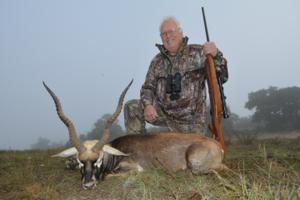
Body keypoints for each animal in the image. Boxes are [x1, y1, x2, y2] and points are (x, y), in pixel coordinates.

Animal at [43, 79, 226, 189]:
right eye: (80, 161)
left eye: (99, 159)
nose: (88, 185)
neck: (116, 153)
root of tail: (217, 145)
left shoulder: (134, 168)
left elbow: (108, 175)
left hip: (195, 164)